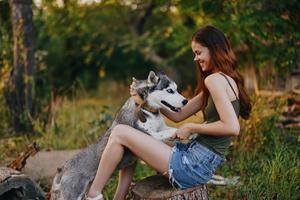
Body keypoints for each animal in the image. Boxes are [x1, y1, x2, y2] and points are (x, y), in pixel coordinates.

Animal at [51, 71, 188, 199]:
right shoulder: (147, 134)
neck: (147, 109)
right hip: (73, 193)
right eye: (169, 90)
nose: (185, 101)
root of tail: (63, 168)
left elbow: (172, 129)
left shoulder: (161, 127)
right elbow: (171, 130)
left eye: (176, 89)